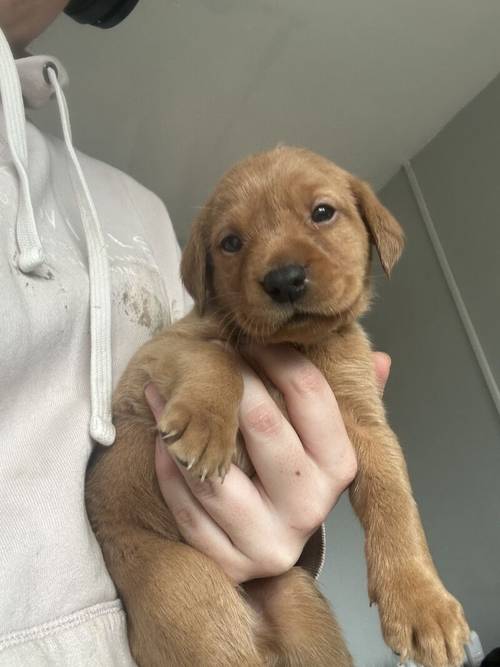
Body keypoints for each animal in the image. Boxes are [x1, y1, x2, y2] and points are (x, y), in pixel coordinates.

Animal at [85, 147, 468, 667]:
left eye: (323, 212)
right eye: (230, 242)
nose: (285, 280)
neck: (293, 346)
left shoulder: (365, 423)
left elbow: (394, 502)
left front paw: (422, 602)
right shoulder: (161, 353)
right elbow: (218, 355)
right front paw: (206, 426)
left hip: (298, 601)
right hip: (183, 588)